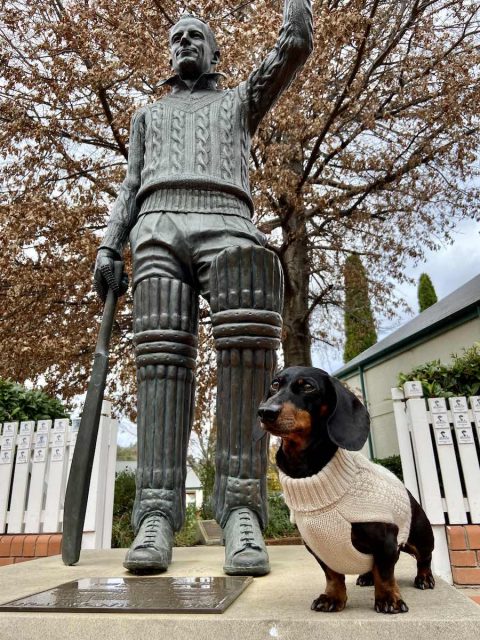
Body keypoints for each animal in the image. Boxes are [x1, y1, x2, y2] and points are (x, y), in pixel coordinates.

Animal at [258, 370, 436, 616]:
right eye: (275, 384)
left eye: (308, 387)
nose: (265, 411)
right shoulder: (319, 547)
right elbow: (333, 575)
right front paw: (333, 597)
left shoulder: (386, 541)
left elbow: (385, 573)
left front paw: (389, 598)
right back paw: (366, 577)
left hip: (421, 537)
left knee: (424, 558)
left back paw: (425, 578)